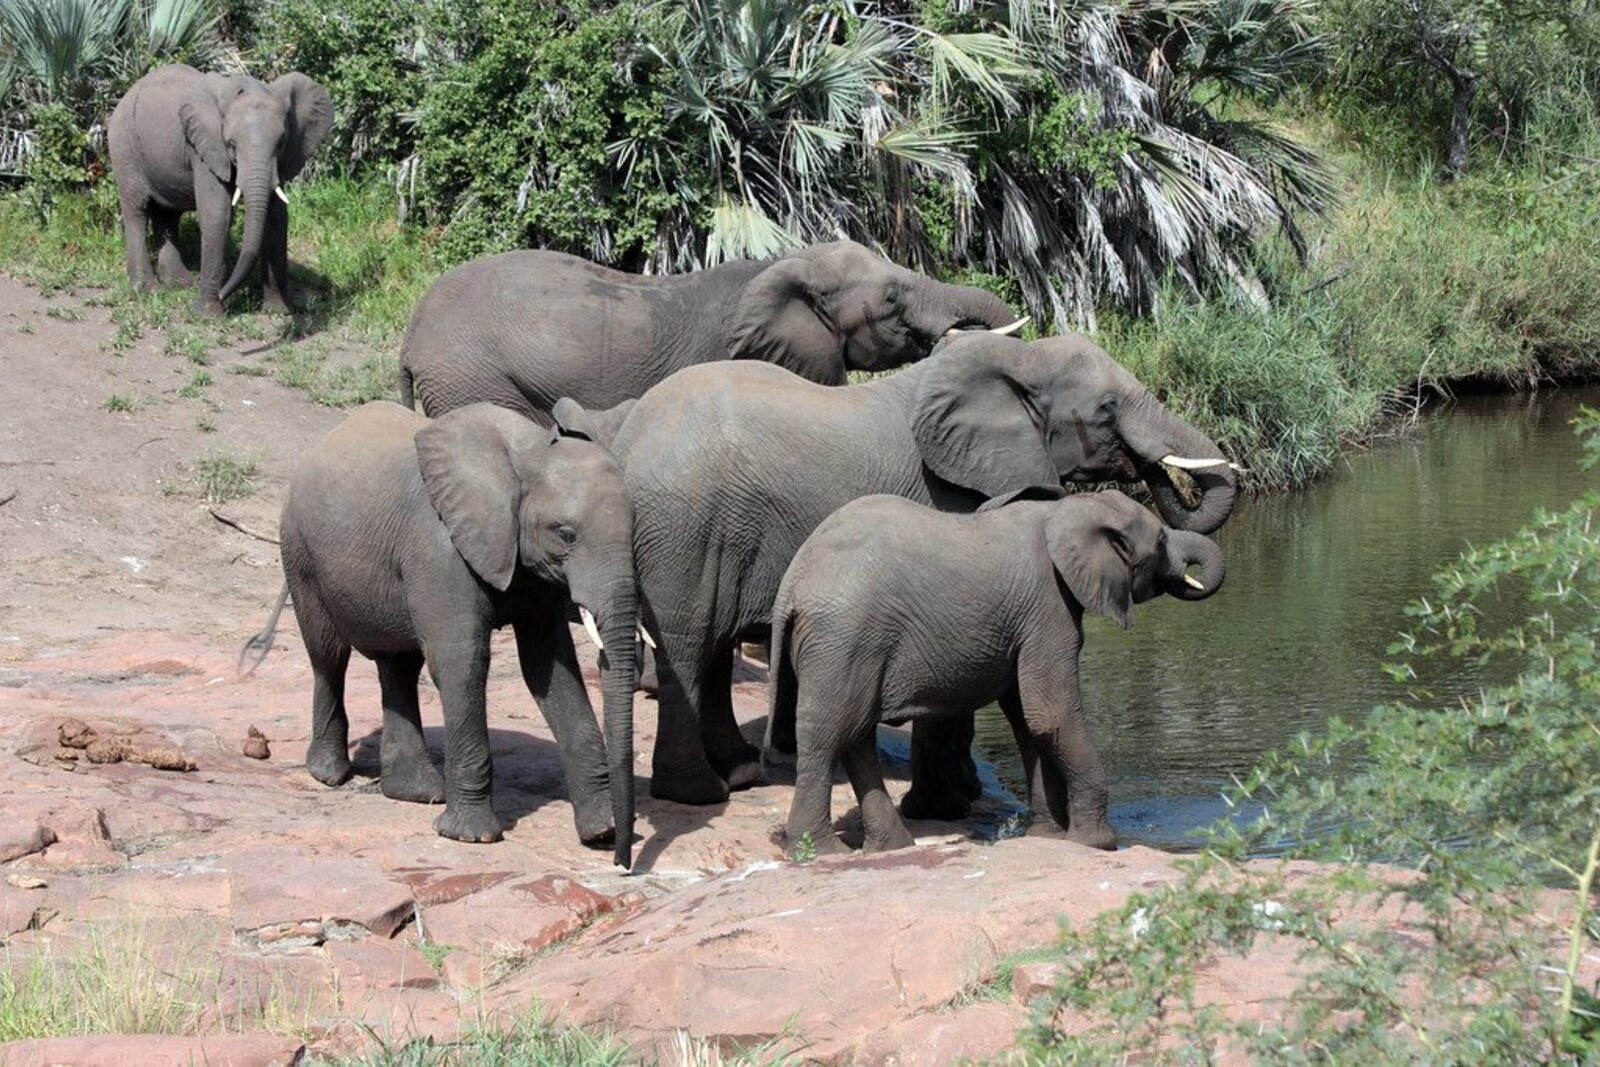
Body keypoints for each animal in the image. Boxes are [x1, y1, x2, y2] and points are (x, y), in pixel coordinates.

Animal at [107, 64, 333, 316]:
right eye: (231, 144)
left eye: (281, 142)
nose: (223, 294)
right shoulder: (204, 146)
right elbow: (218, 216)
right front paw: (207, 315)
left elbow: (276, 218)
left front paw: (278, 311)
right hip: (123, 146)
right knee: (137, 210)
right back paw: (148, 290)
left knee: (167, 215)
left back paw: (180, 284)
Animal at [253, 401, 640, 866]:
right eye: (565, 534)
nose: (622, 861)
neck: (523, 456)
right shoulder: (440, 549)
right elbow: (462, 663)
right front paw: (472, 838)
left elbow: (550, 670)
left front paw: (602, 831)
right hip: (298, 549)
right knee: (328, 655)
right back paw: (329, 774)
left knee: (398, 665)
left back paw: (416, 792)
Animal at [553, 330, 1237, 811]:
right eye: (1105, 409)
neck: (1014, 363)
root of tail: (623, 445)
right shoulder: (952, 492)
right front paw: (949, 808)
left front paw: (963, 795)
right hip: (683, 527)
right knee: (690, 644)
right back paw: (700, 794)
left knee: (714, 650)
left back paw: (742, 773)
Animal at [770, 488, 1225, 855]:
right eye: (1161, 540)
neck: (1066, 509)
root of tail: (792, 585)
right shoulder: (1048, 608)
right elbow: (1050, 716)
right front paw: (1095, 844)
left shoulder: (1023, 624)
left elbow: (1027, 721)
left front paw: (1047, 836)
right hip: (844, 638)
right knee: (829, 734)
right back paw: (822, 852)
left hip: (846, 647)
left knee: (855, 733)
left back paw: (891, 847)